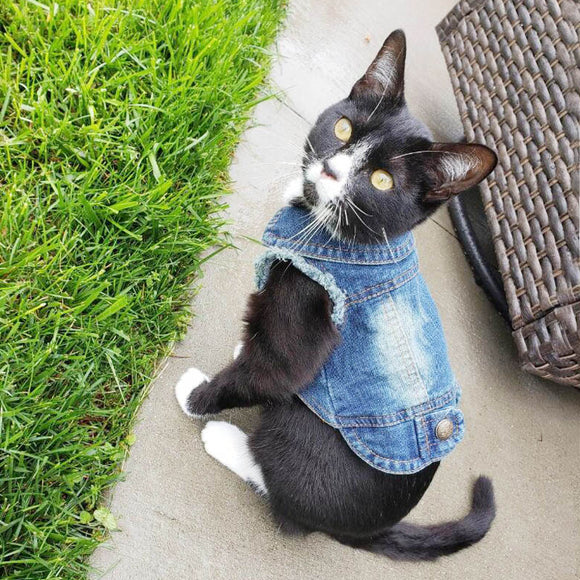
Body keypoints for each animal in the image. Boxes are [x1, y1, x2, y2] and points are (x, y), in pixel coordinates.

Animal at [176, 29, 498, 560]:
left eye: (382, 180)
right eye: (344, 129)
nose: (331, 169)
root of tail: (367, 529)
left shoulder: (310, 307)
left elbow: (272, 370)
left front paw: (197, 397)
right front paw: (242, 347)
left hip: (302, 439)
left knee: (291, 508)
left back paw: (228, 442)